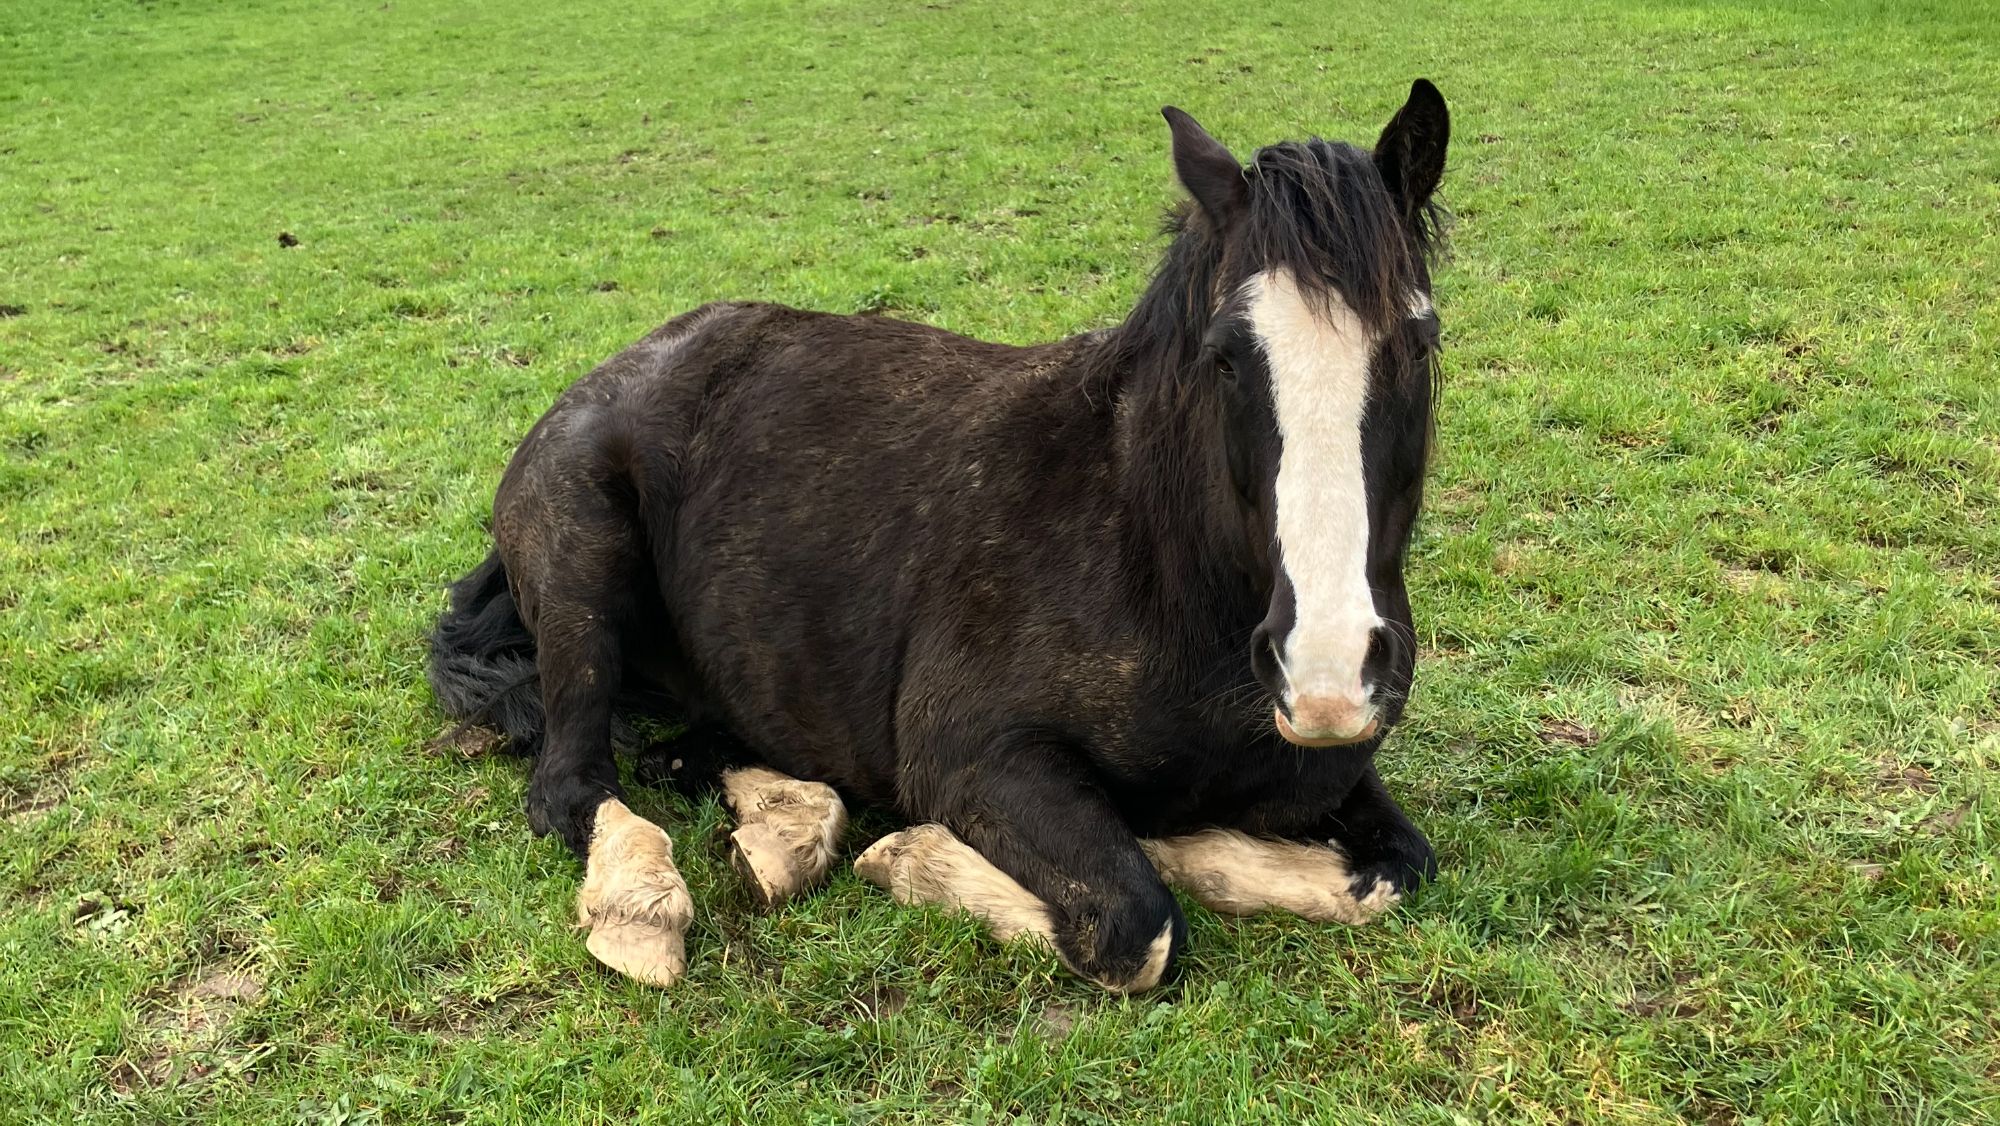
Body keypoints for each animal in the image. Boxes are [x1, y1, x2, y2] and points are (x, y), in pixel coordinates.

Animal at [428, 80, 1450, 992]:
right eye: (1227, 356)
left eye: (1420, 342)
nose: (1327, 673)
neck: (1153, 562)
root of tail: (609, 374)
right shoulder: (977, 757)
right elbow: (1136, 926)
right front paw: (921, 856)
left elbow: (1396, 868)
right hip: (582, 574)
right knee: (574, 784)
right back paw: (644, 908)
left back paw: (784, 827)